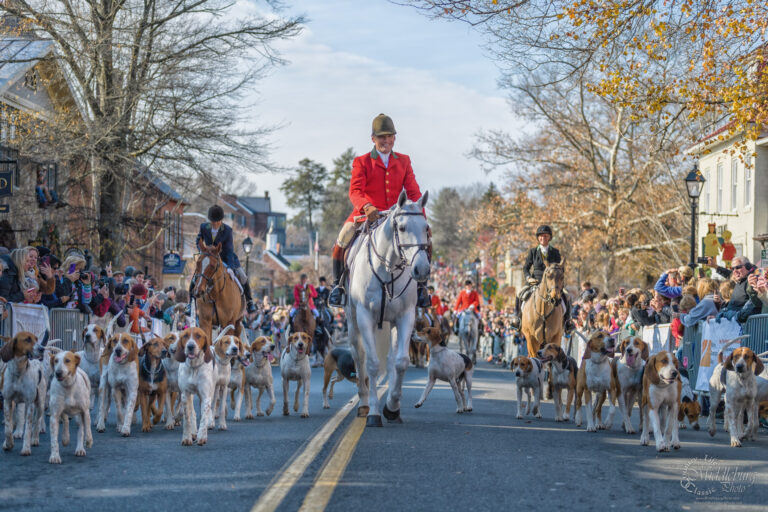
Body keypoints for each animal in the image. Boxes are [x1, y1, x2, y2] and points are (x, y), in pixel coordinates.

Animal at [344, 190, 428, 426]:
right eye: (402, 227)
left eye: (426, 227)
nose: (422, 269)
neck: (388, 268)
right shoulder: (365, 317)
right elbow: (372, 364)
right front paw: (374, 412)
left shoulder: (405, 316)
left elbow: (400, 362)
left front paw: (392, 407)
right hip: (353, 323)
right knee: (359, 356)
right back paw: (363, 404)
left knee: (390, 360)